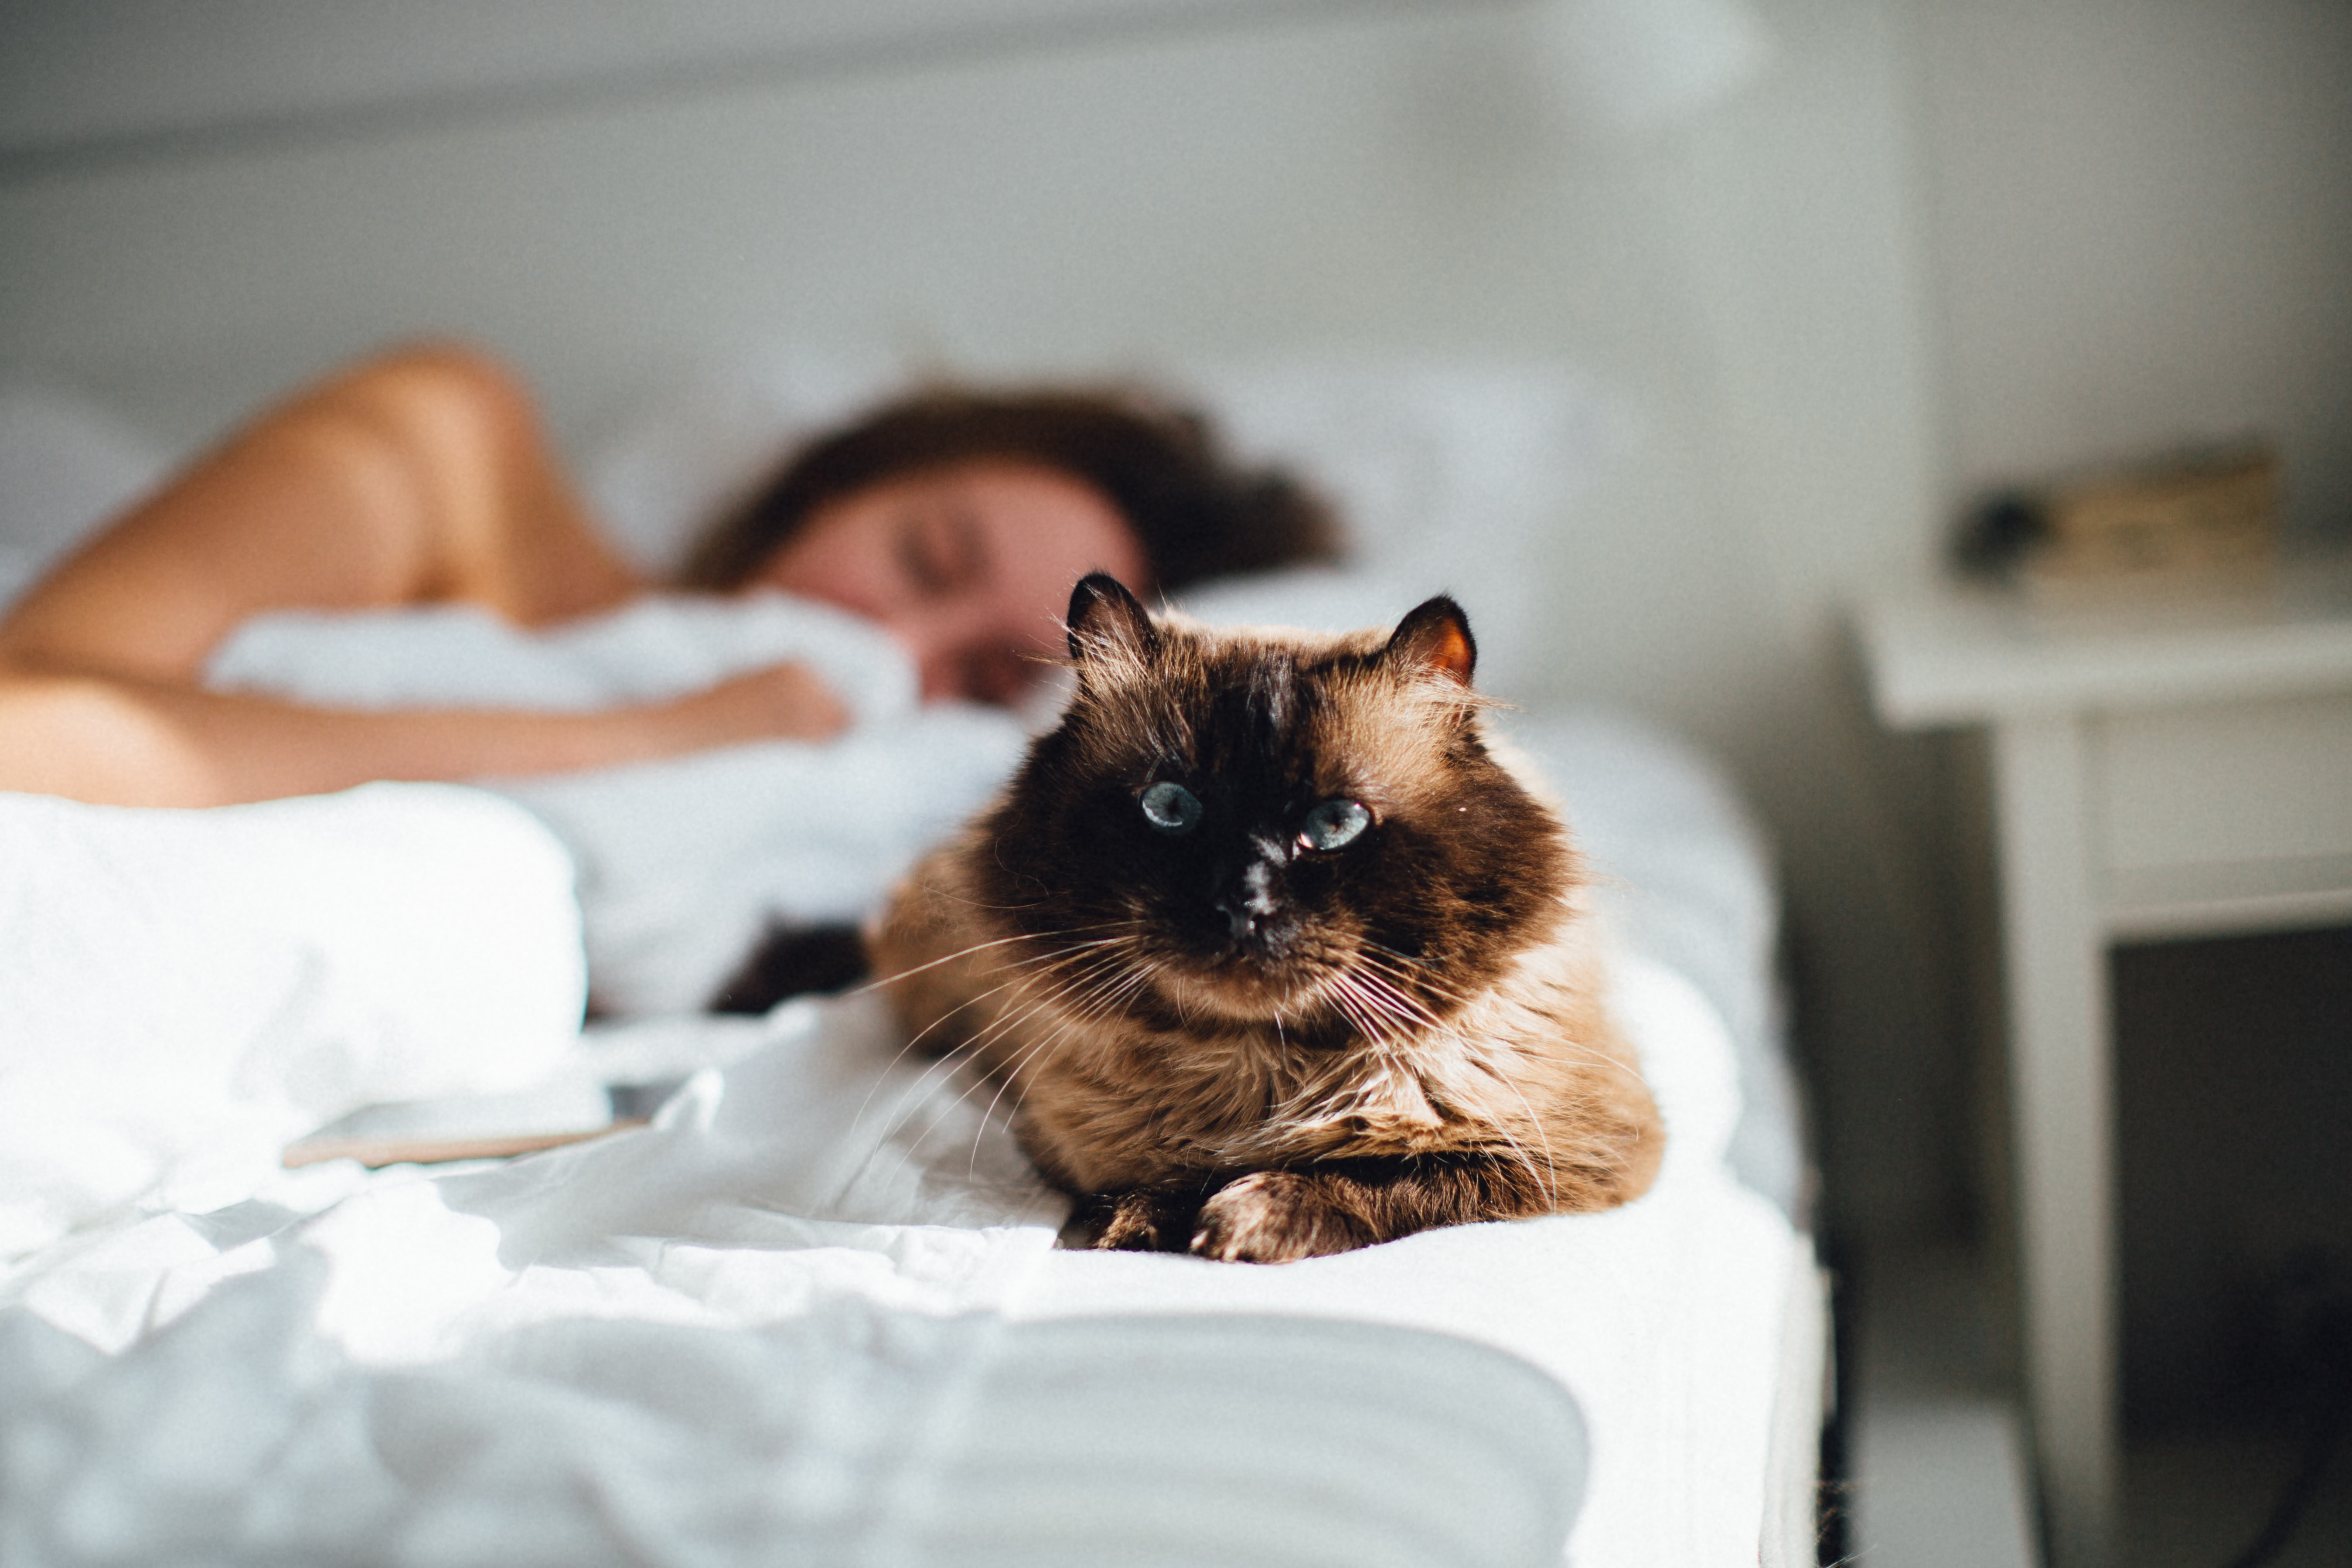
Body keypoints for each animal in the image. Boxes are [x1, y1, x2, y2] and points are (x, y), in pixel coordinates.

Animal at [875, 576, 1665, 1260]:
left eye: (1334, 823)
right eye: (1170, 809)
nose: (1241, 904)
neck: (1260, 1071)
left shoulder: (1555, 1156)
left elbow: (1377, 1178)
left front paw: (1242, 1220)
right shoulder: (1070, 1141)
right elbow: (1155, 1179)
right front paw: (1136, 1224)